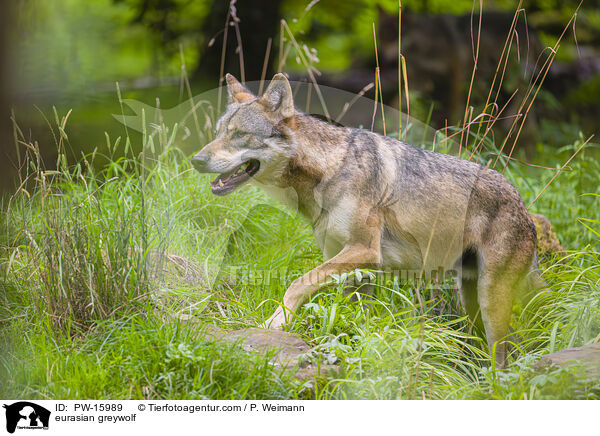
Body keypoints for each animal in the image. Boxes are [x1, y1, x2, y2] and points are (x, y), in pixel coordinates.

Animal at [193, 73, 544, 366]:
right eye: (217, 134)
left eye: (240, 135)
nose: (197, 159)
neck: (329, 170)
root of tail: (524, 209)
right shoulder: (348, 263)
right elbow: (352, 316)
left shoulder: (364, 249)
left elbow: (297, 282)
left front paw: (275, 322)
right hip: (469, 300)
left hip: (490, 300)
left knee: (504, 356)